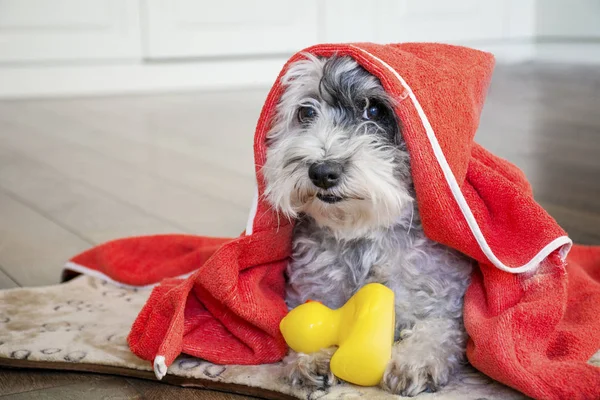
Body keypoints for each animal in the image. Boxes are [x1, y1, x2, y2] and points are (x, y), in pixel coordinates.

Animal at [262, 54, 474, 396]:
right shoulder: (312, 289)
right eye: (306, 112)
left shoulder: (441, 299)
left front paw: (414, 359)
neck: (362, 233)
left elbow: (440, 329)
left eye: (374, 110)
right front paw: (312, 356)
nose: (322, 171)